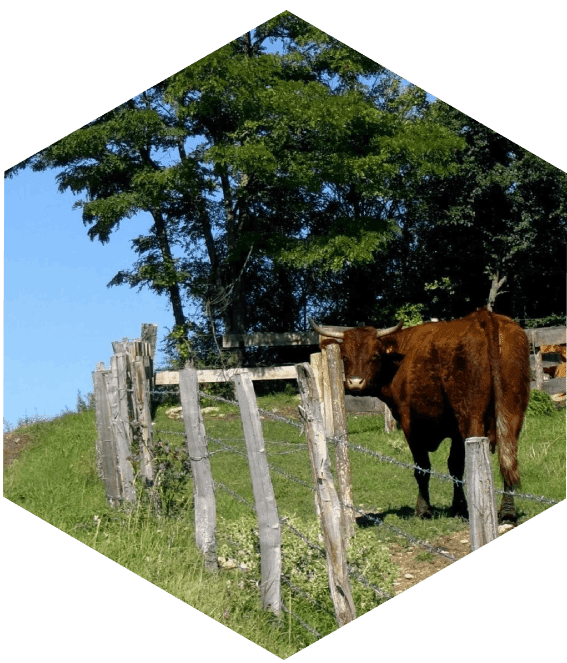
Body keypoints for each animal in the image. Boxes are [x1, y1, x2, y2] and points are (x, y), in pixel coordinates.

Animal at [310, 308, 532, 524]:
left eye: (374, 356)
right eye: (345, 357)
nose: (355, 383)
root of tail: (484, 315)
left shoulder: (410, 423)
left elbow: (423, 468)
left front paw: (424, 510)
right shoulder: (454, 430)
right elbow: (455, 466)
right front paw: (459, 508)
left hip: (471, 417)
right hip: (512, 413)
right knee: (508, 458)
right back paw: (507, 512)